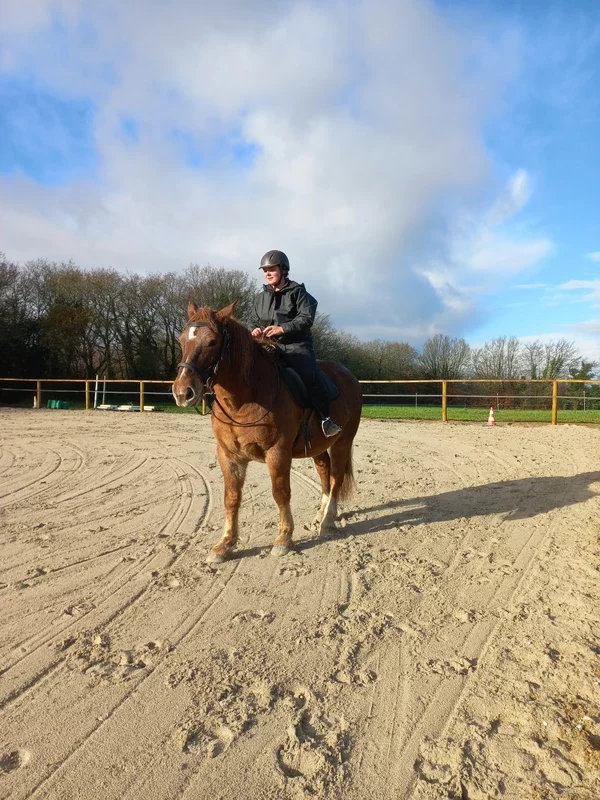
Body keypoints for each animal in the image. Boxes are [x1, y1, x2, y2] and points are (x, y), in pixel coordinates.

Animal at [171, 302, 364, 564]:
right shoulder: (228, 455)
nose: (183, 392)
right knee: (325, 474)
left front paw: (283, 539)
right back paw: (321, 514)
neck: (244, 400)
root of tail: (349, 375)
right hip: (318, 446)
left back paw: (328, 521)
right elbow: (231, 497)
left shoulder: (277, 453)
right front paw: (225, 544)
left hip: (342, 441)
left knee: (336, 478)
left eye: (212, 341)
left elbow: (280, 493)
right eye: (181, 340)